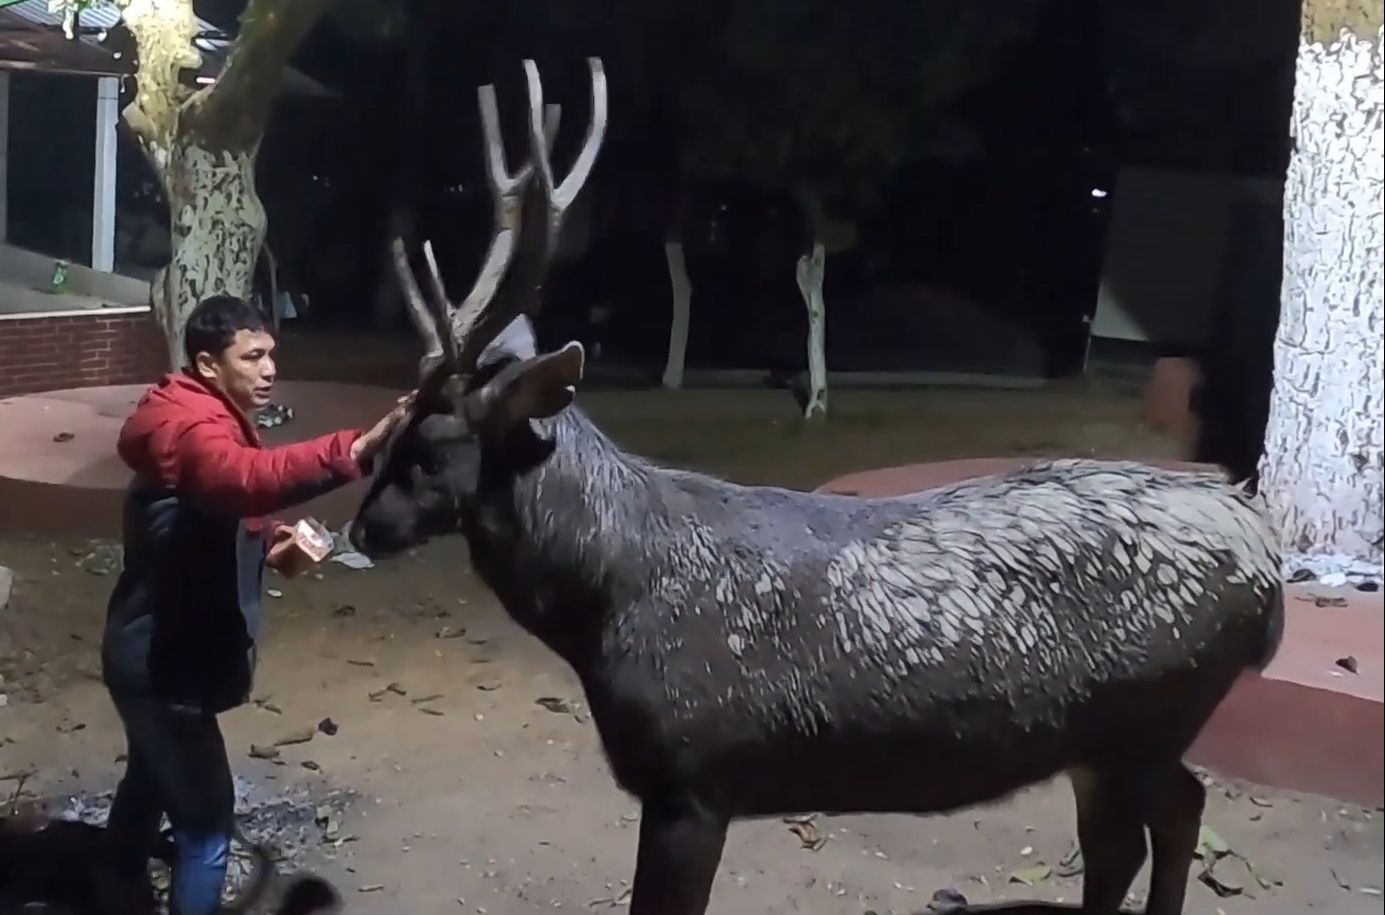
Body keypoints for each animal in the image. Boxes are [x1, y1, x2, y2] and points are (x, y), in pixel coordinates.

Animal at [349, 58, 1285, 913]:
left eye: (430, 445)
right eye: (391, 431)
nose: (363, 528)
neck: (605, 602)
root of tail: (1265, 560)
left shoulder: (696, 775)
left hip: (1149, 714)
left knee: (1164, 817)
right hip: (1103, 739)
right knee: (1144, 830)